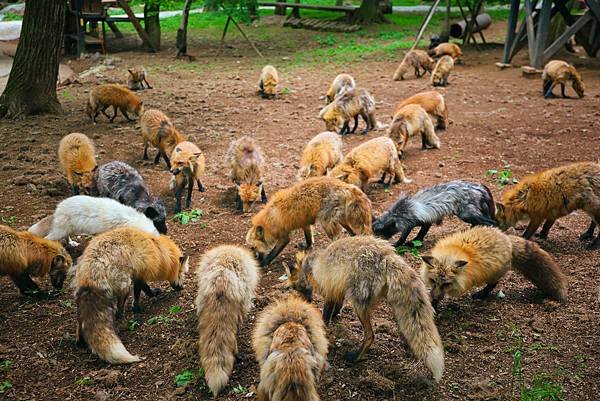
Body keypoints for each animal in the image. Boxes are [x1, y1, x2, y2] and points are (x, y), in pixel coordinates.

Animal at [74, 228, 189, 362]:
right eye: (183, 274)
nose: (182, 288)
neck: (158, 250)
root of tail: (93, 265)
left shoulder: (139, 274)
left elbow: (146, 288)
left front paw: (152, 294)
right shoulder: (139, 274)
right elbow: (139, 293)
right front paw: (137, 308)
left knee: (80, 322)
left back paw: (80, 342)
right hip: (125, 287)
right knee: (119, 312)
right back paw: (127, 324)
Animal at [288, 234, 442, 382]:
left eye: (295, 287)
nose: (307, 300)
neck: (311, 265)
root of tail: (387, 255)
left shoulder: (328, 290)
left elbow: (326, 315)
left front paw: (324, 327)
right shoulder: (337, 289)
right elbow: (336, 307)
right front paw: (335, 317)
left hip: (358, 306)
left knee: (370, 335)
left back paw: (356, 357)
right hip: (393, 304)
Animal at [422, 225, 568, 306]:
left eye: (446, 284)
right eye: (432, 280)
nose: (434, 297)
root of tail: (507, 238)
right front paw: (433, 305)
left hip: (493, 274)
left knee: (493, 284)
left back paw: (481, 295)